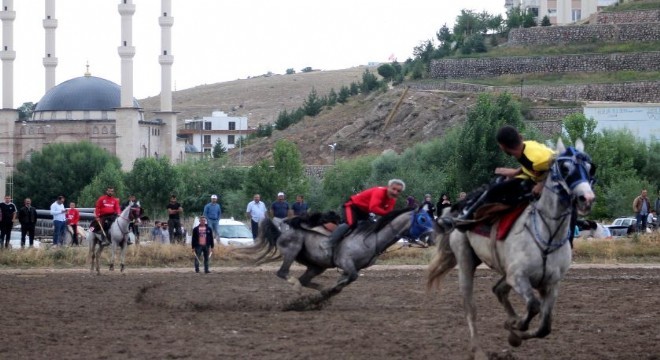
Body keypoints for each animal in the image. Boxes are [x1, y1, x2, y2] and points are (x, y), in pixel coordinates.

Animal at [248, 207, 434, 308]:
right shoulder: (346, 263)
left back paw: (319, 291)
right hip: (292, 249)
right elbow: (351, 277)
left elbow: (345, 281)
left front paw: (327, 293)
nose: (432, 238)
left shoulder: (350, 268)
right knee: (284, 273)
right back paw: (298, 287)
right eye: (423, 219)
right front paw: (329, 291)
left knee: (305, 279)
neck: (371, 238)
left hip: (317, 266)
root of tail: (283, 229)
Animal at [428, 139, 600, 358]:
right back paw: (478, 350)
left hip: (504, 270)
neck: (546, 234)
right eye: (565, 168)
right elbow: (533, 306)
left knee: (498, 290)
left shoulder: (551, 284)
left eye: (589, 168)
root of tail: (459, 210)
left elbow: (545, 327)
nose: (586, 198)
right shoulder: (518, 277)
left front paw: (515, 331)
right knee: (470, 307)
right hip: (466, 258)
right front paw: (516, 328)